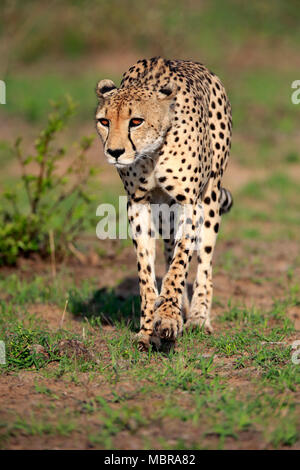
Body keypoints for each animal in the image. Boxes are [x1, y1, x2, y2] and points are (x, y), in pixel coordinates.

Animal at [95, 57, 233, 350]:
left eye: (136, 121)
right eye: (104, 121)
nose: (114, 152)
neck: (151, 153)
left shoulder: (190, 202)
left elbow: (181, 263)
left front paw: (168, 317)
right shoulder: (138, 203)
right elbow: (146, 270)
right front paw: (148, 328)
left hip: (210, 195)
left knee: (203, 261)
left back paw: (198, 316)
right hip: (164, 210)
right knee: (170, 248)